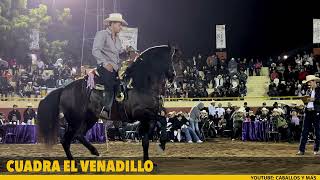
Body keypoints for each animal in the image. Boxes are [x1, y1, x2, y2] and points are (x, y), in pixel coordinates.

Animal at [39, 45, 178, 162]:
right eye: (169, 59)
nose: (173, 75)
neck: (140, 85)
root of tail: (64, 89)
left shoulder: (149, 117)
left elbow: (147, 138)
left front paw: (149, 158)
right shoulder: (142, 114)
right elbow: (162, 121)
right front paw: (161, 146)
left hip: (89, 118)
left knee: (78, 135)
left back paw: (94, 151)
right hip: (75, 120)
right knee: (66, 140)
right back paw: (75, 163)